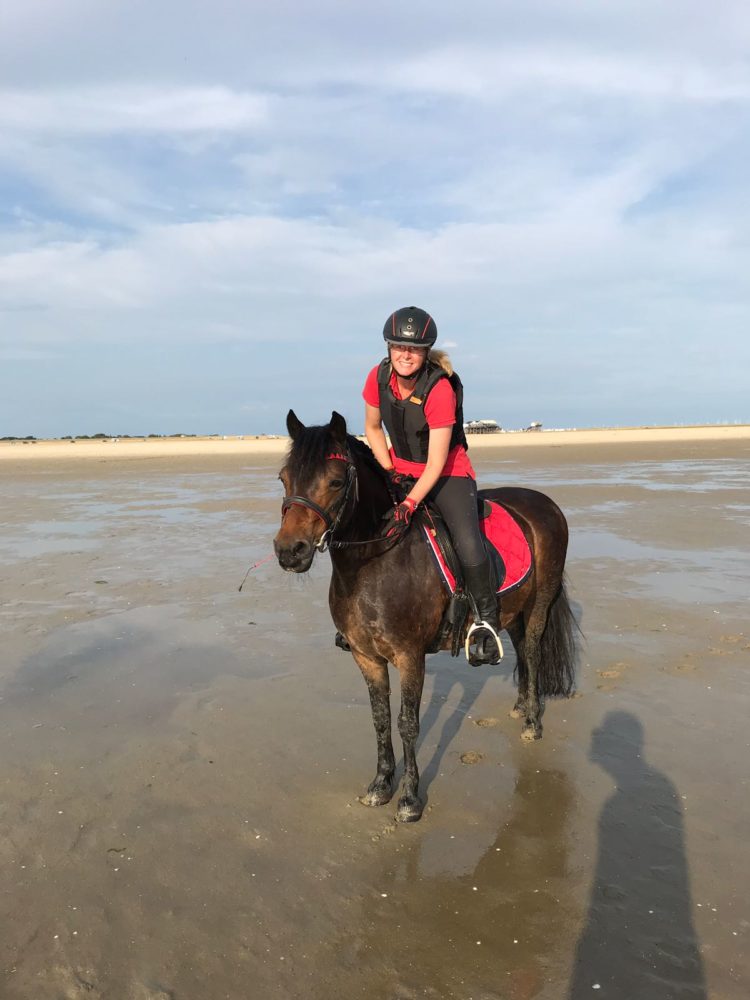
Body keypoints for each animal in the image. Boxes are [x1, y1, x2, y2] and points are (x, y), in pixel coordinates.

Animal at [274, 410, 580, 824]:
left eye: (336, 481)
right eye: (284, 478)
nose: (290, 550)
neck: (375, 561)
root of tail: (545, 504)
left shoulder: (410, 656)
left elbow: (407, 723)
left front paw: (408, 798)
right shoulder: (366, 657)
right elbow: (380, 719)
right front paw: (380, 785)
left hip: (539, 605)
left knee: (531, 651)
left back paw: (532, 722)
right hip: (515, 608)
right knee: (519, 649)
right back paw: (520, 707)